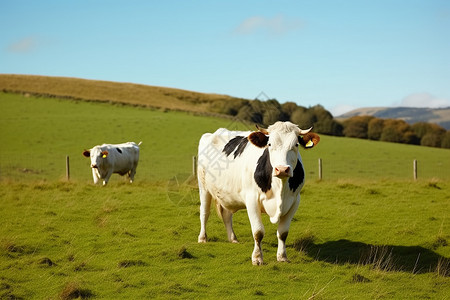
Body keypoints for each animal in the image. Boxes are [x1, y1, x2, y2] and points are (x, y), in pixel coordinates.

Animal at [198, 122, 320, 264]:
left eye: (296, 145)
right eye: (270, 144)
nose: (282, 169)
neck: (280, 188)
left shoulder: (295, 201)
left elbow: (283, 233)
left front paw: (282, 257)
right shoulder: (251, 199)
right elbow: (258, 232)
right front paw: (257, 258)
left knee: (227, 215)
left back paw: (233, 239)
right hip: (203, 187)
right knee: (204, 212)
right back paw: (202, 238)